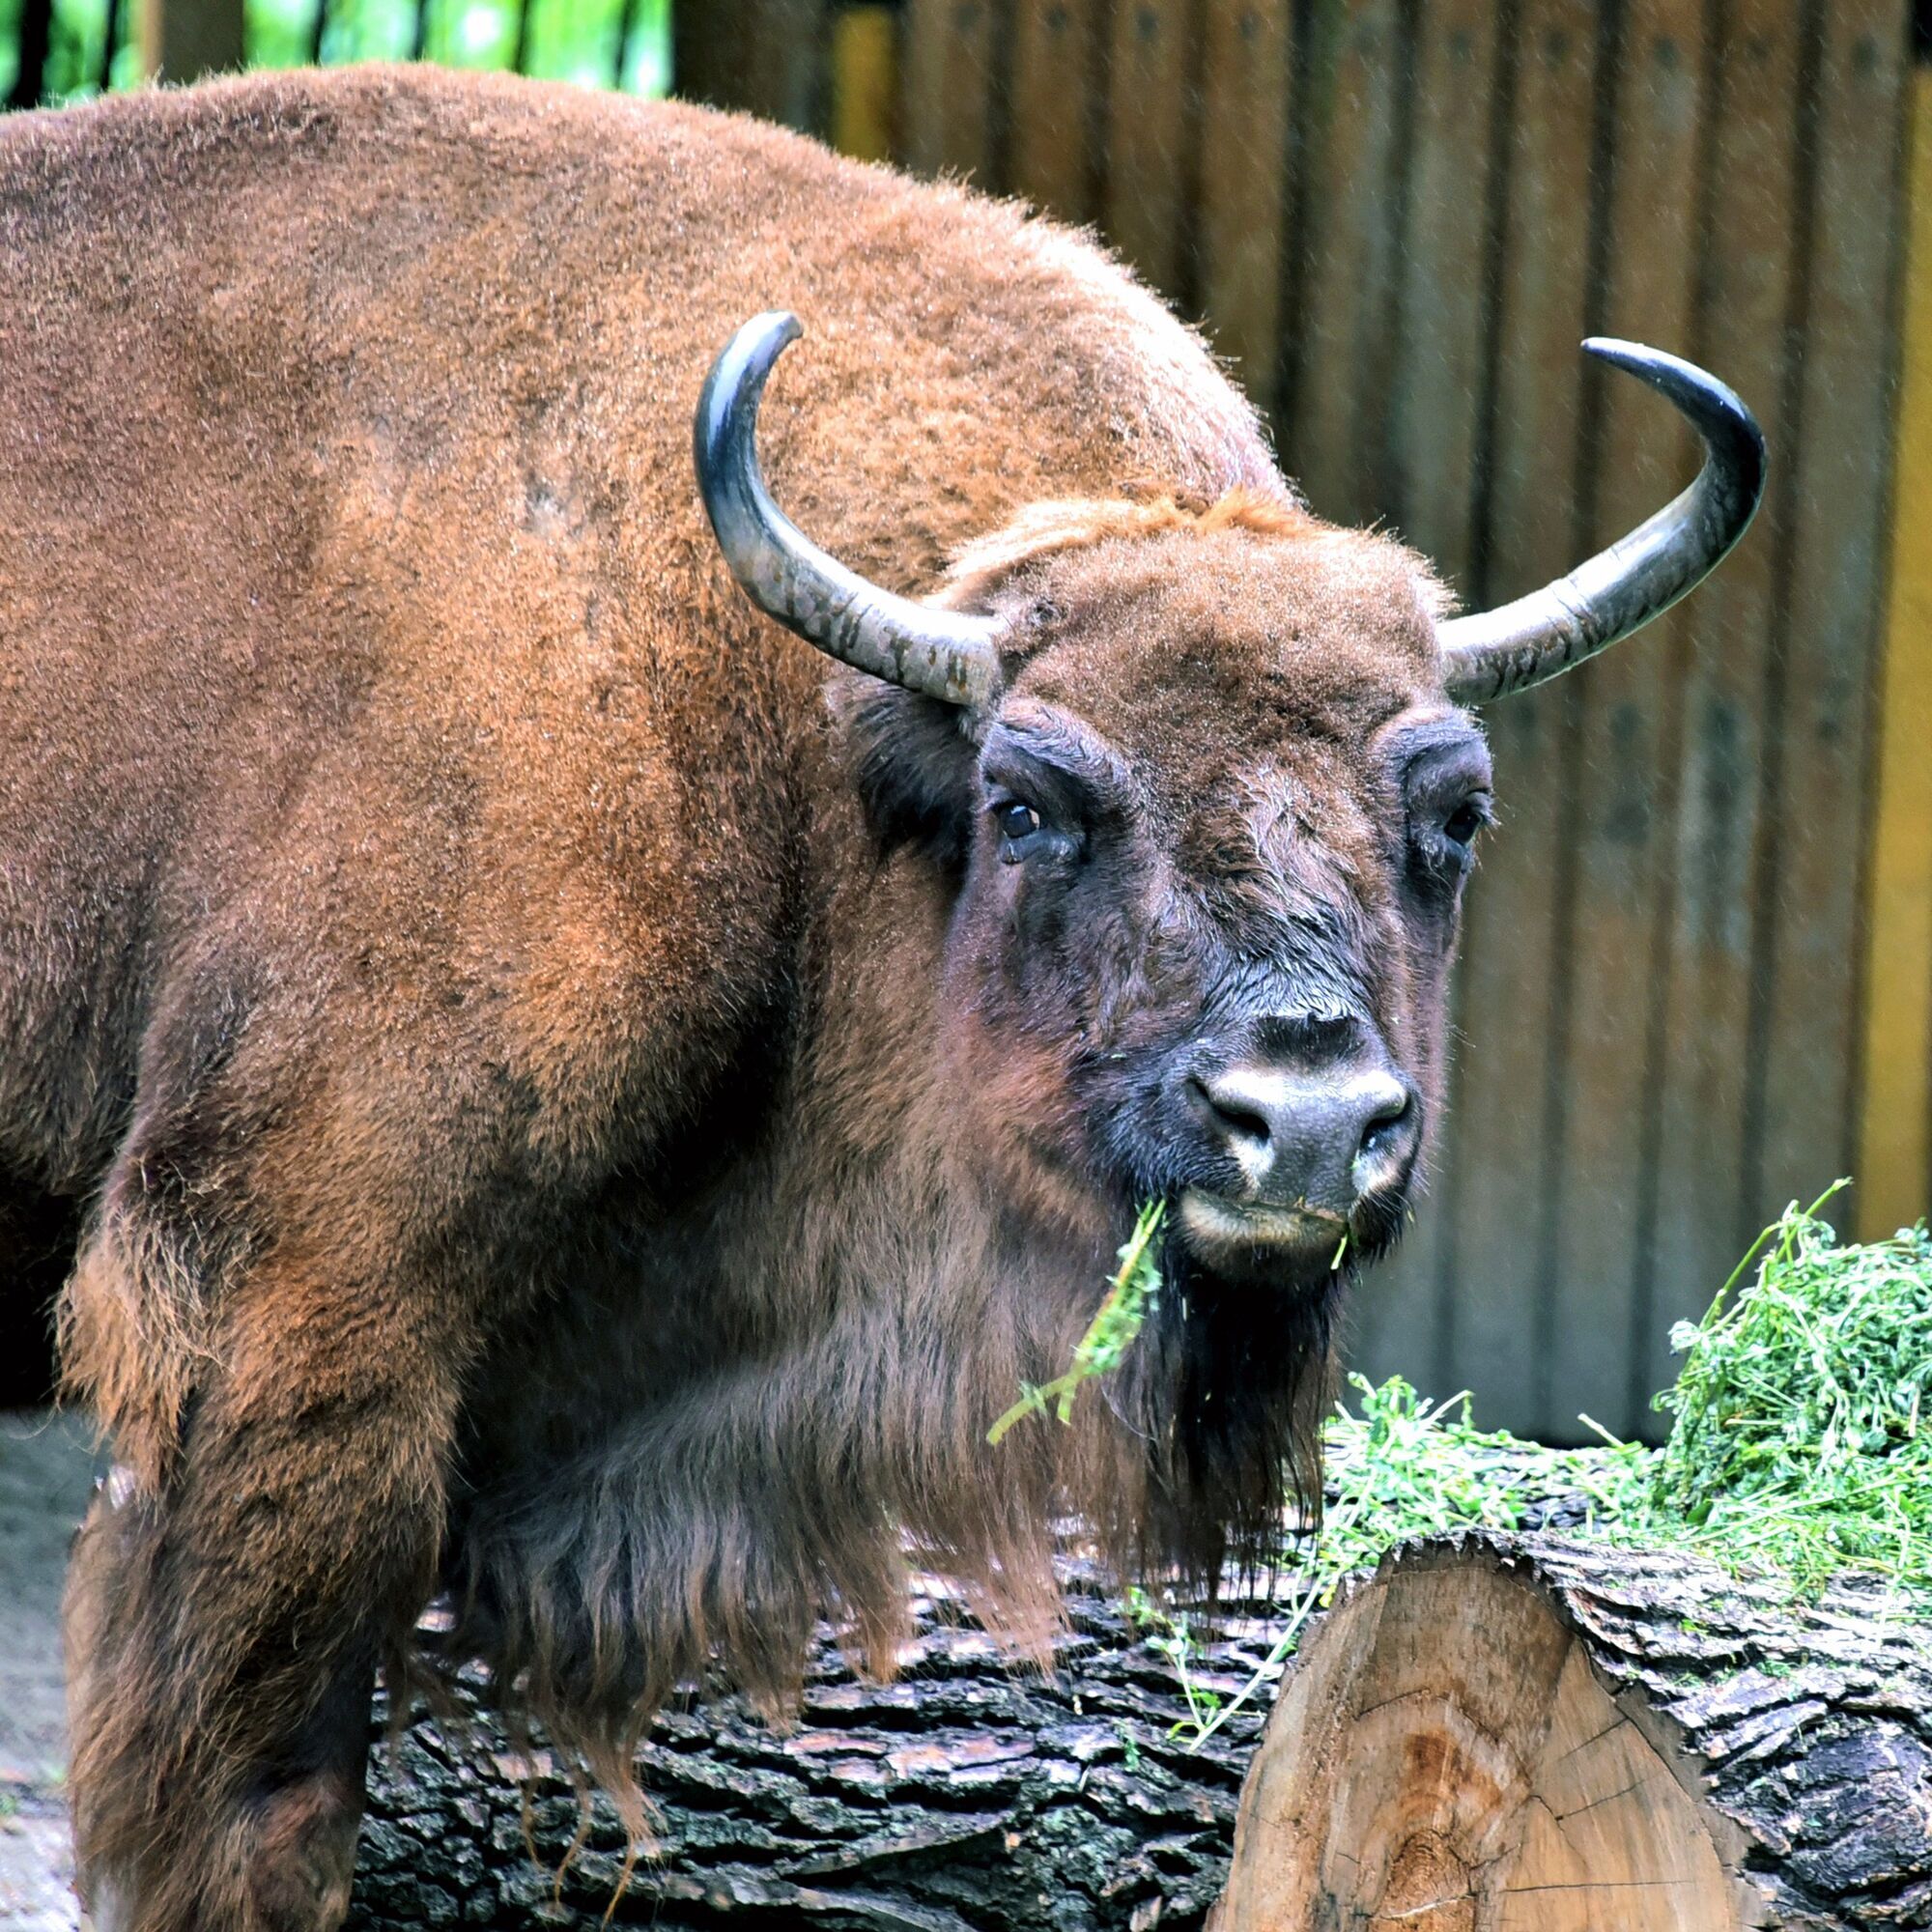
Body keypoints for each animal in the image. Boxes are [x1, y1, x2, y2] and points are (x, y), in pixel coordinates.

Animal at [0, 60, 1754, 1932]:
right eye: (1030, 799)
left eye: (1456, 810)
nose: (1304, 1126)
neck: (774, 728)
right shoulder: (293, 1329)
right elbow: (264, 1807)